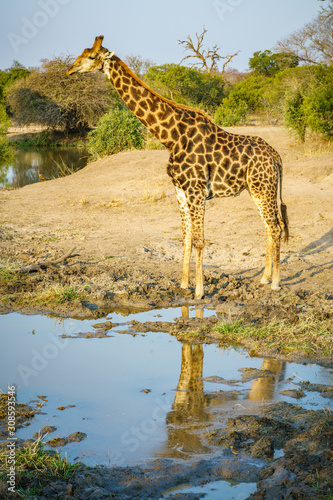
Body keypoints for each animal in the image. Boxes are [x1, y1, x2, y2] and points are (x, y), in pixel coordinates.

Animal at [67, 38, 288, 300]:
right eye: (82, 52)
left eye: (91, 57)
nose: (69, 70)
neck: (171, 137)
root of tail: (275, 155)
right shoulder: (180, 190)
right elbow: (186, 237)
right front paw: (183, 285)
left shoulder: (196, 190)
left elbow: (200, 240)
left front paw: (200, 292)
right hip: (257, 190)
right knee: (268, 227)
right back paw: (264, 278)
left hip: (264, 188)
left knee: (275, 227)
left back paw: (276, 283)